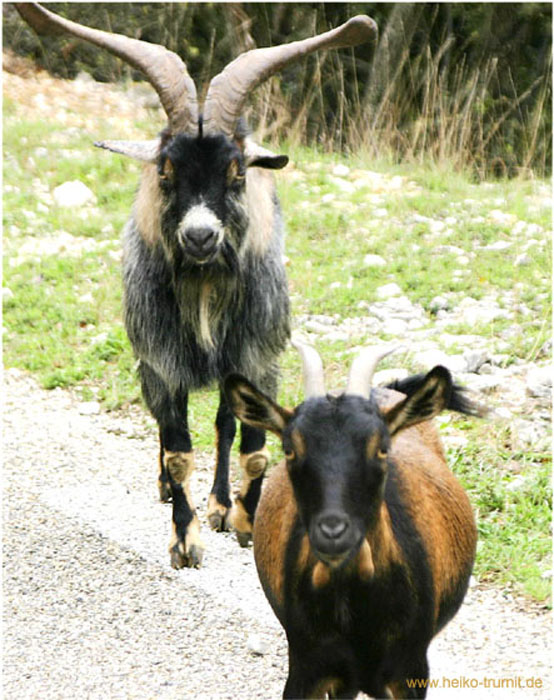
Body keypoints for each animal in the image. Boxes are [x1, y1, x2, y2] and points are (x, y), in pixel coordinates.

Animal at [17, 4, 378, 568]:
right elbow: (179, 451)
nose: (201, 235)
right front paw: (184, 541)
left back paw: (220, 504)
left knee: (225, 427)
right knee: (170, 437)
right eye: (166, 171)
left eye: (236, 172)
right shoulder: (161, 362)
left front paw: (243, 521)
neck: (205, 285)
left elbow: (253, 451)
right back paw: (170, 490)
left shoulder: (258, 357)